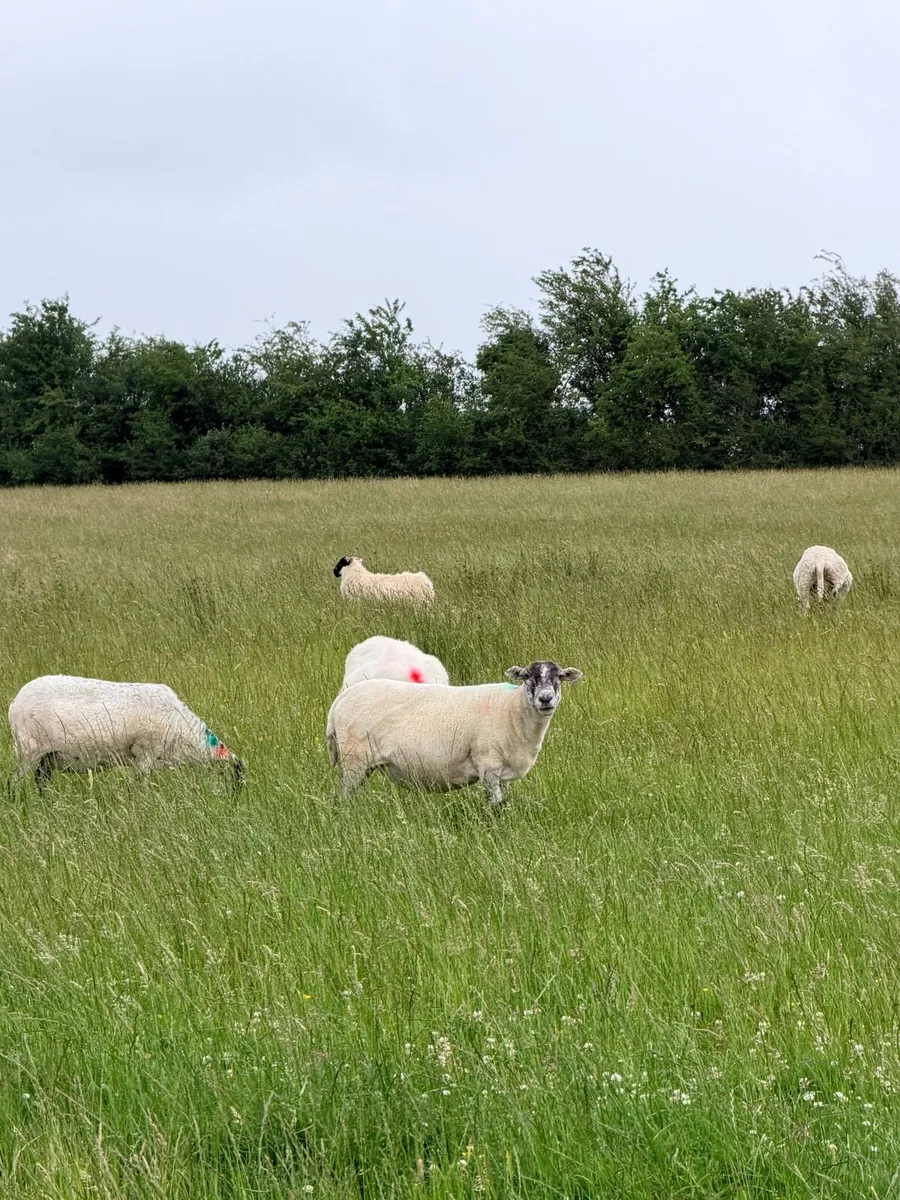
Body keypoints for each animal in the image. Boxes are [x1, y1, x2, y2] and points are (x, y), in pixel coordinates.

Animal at [8, 675, 244, 792]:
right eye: (233, 782)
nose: (230, 806)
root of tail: (15, 703)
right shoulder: (144, 753)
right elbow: (137, 788)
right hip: (29, 750)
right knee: (13, 782)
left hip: (46, 758)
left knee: (41, 783)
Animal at [326, 660, 583, 807]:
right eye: (529, 676)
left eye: (559, 677)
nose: (546, 699)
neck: (511, 709)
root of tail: (340, 701)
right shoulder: (488, 766)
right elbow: (494, 807)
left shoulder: (504, 771)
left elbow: (504, 803)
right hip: (354, 759)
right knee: (341, 800)